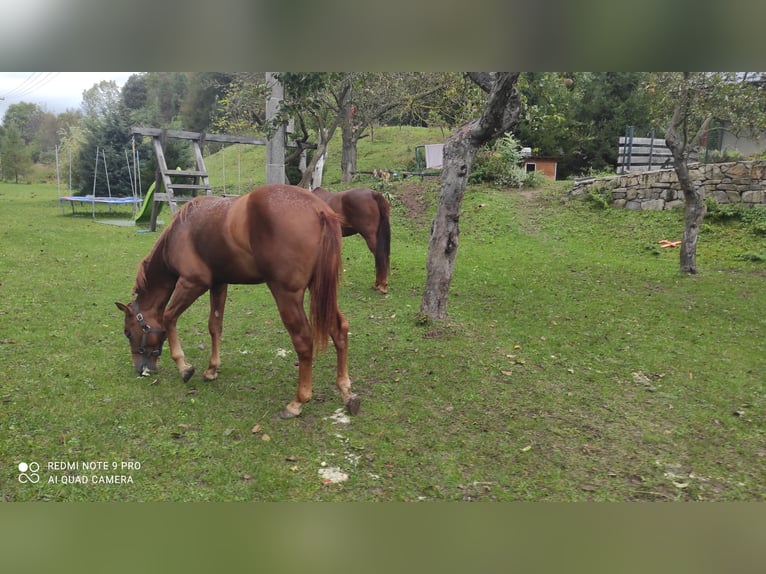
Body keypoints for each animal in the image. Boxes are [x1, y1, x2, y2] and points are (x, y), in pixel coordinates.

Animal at [115, 184, 362, 418]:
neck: (180, 232)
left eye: (128, 333)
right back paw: (346, 392)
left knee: (303, 340)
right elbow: (214, 326)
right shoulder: (219, 284)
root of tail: (319, 210)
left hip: (287, 295)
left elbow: (168, 318)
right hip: (321, 292)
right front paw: (212, 369)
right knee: (339, 329)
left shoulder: (192, 283)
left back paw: (298, 402)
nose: (140, 370)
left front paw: (184, 367)